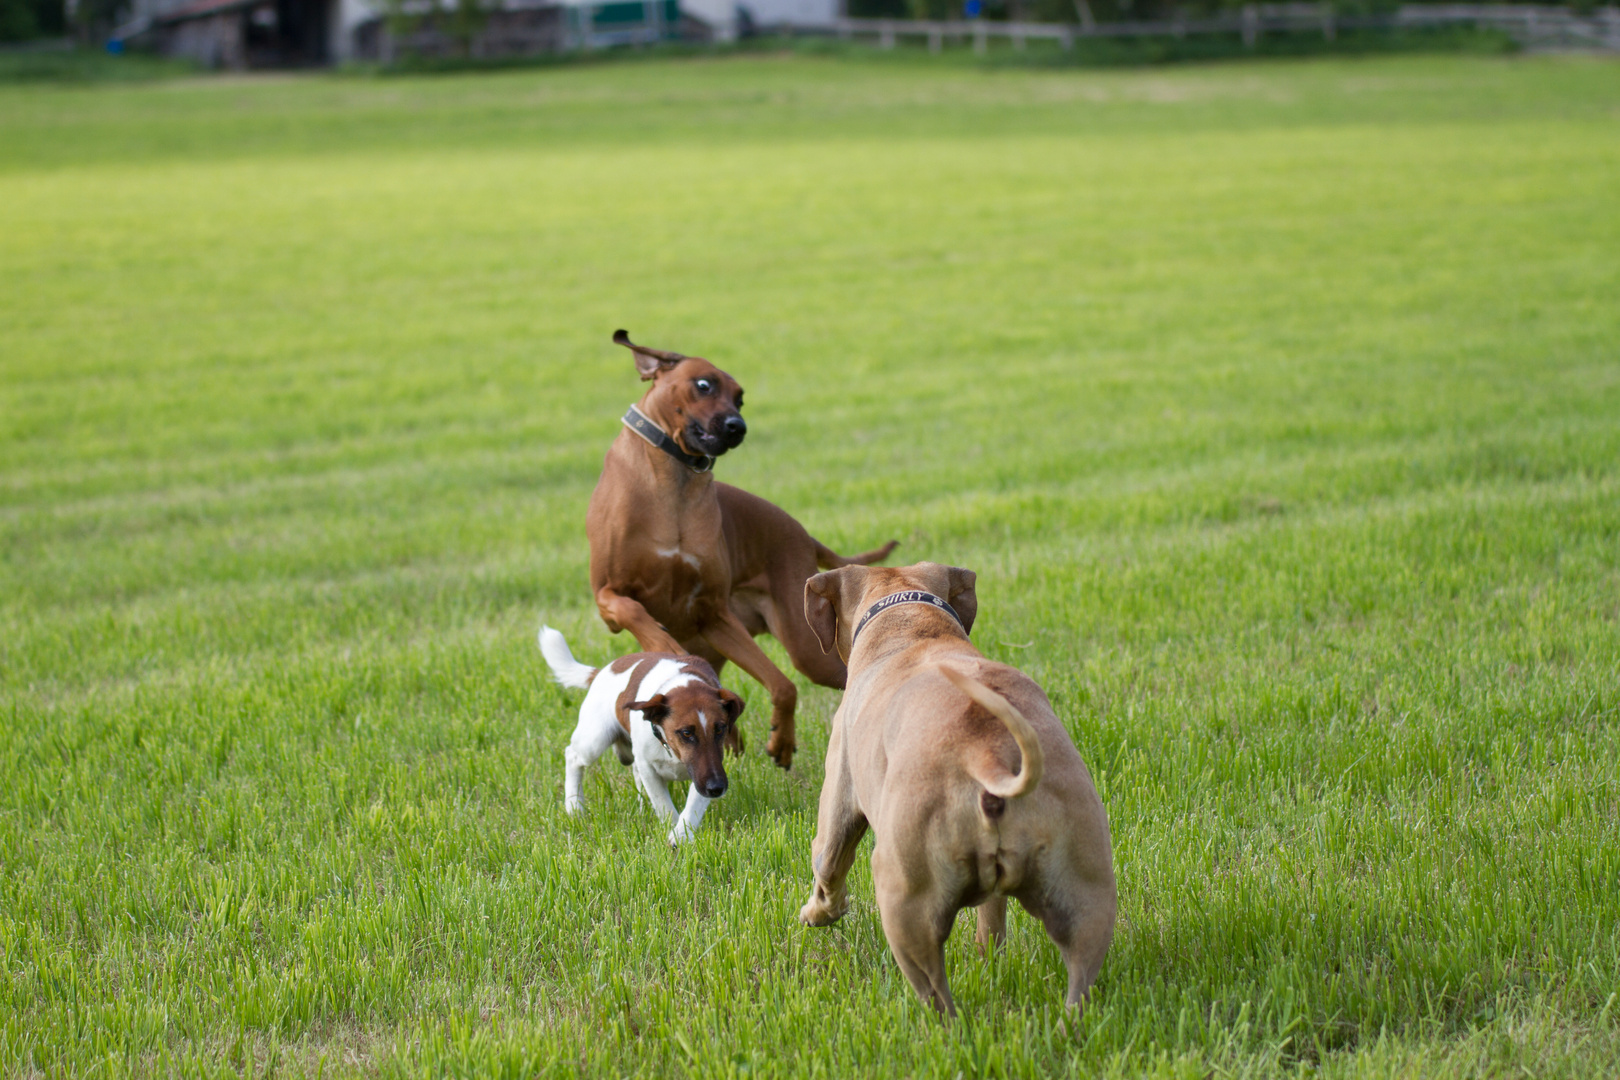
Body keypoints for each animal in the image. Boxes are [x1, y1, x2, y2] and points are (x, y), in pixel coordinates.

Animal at [586, 330, 900, 767]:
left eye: (740, 398)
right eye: (704, 384)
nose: (738, 427)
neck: (673, 482)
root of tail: (802, 534)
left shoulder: (715, 615)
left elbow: (783, 685)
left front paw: (781, 741)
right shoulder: (607, 597)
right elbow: (635, 612)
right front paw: (663, 645)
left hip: (803, 645)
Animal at [797, 563, 1114, 1016]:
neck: (911, 622)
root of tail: (987, 754)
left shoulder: (838, 798)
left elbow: (827, 864)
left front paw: (819, 913)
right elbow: (992, 922)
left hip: (904, 897)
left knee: (936, 997)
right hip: (1086, 895)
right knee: (1078, 982)